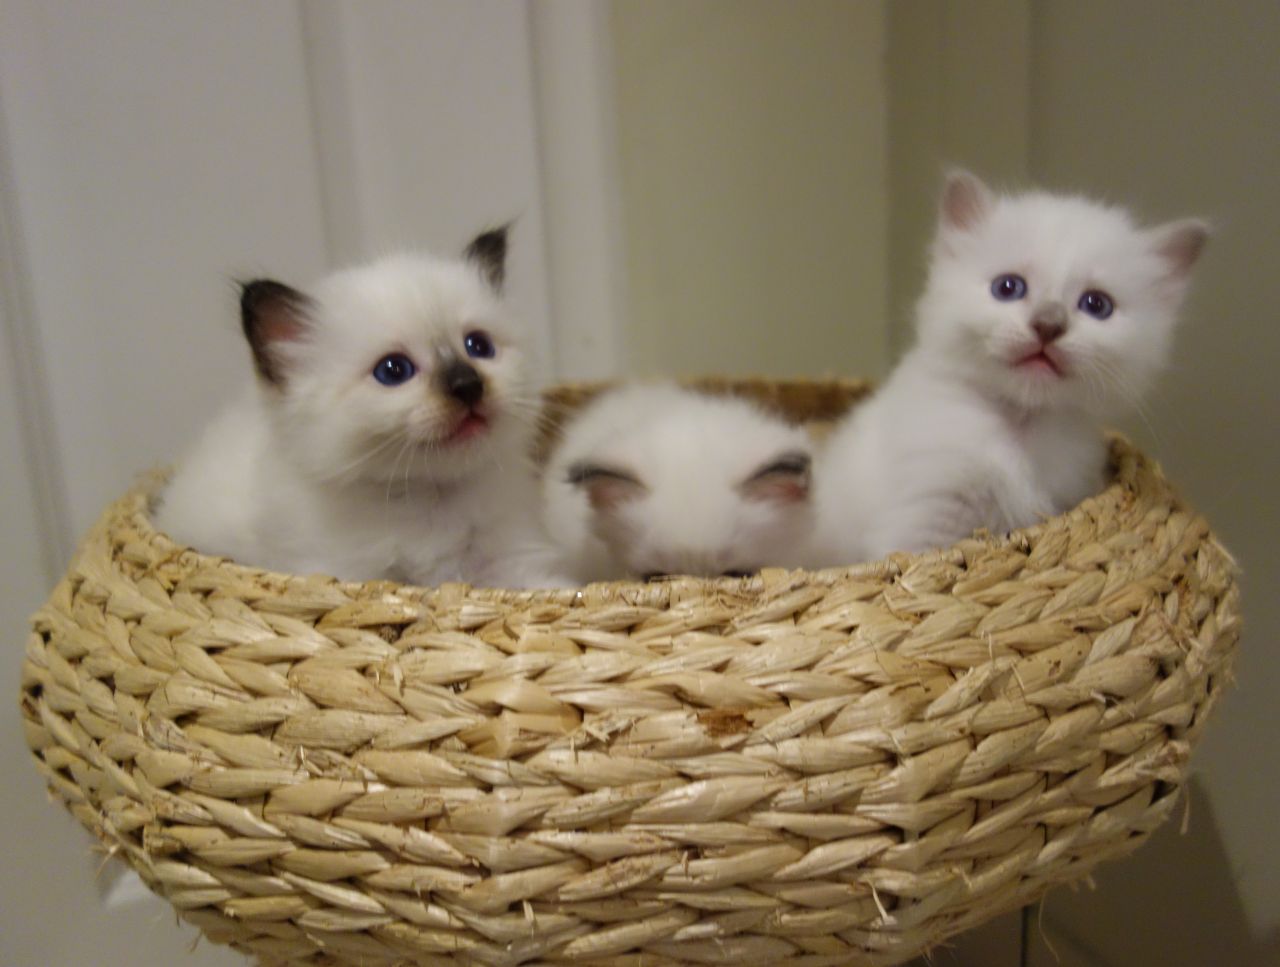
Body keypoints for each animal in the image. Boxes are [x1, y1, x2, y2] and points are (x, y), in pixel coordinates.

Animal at [154, 230, 565, 586]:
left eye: (478, 346)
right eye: (393, 370)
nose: (467, 385)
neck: (429, 498)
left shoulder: (516, 565)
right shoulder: (347, 571)